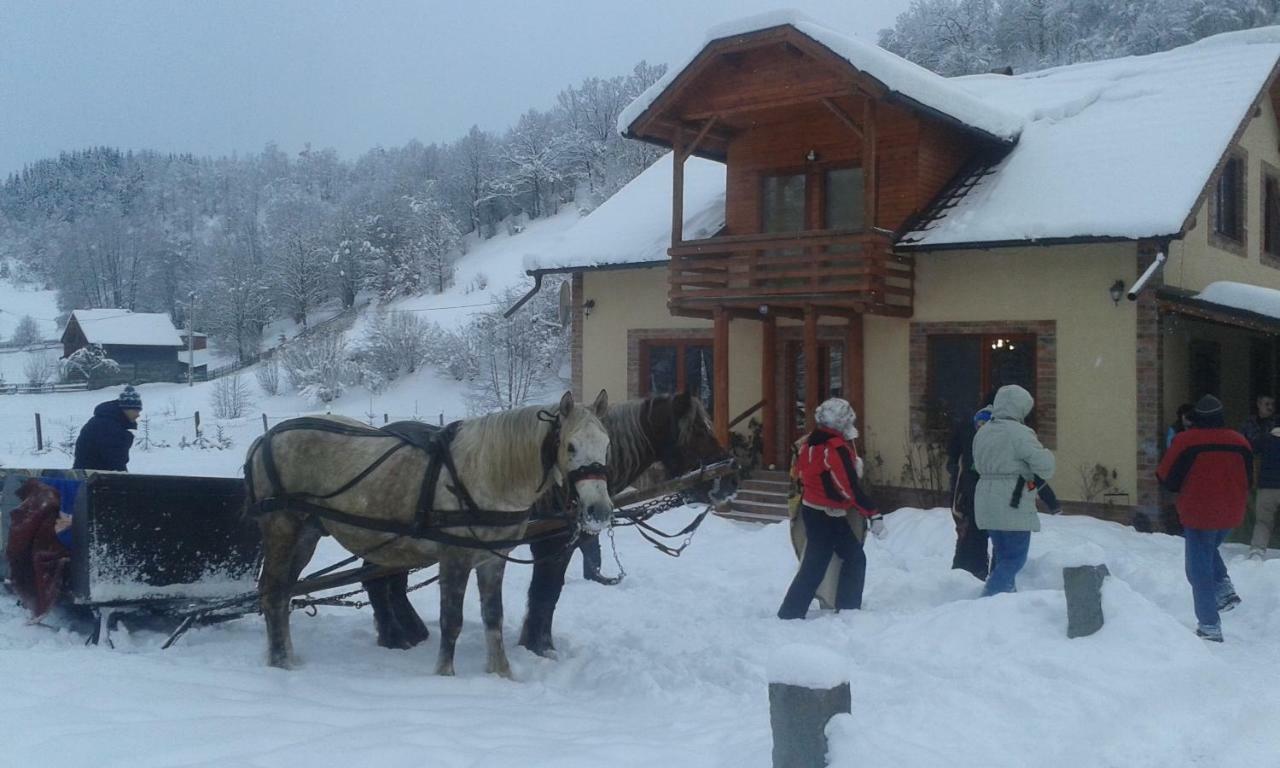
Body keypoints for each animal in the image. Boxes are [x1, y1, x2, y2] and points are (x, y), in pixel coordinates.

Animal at [248, 389, 614, 675]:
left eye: (607, 444)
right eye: (570, 446)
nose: (599, 510)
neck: (484, 472)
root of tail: (265, 438)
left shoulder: (492, 560)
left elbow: (493, 617)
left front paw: (501, 672)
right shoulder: (454, 557)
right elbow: (451, 620)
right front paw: (444, 674)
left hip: (306, 534)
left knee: (283, 591)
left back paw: (288, 656)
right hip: (282, 527)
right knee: (273, 592)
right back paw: (281, 662)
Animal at [363, 396, 742, 652]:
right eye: (699, 431)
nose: (730, 480)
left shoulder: (564, 542)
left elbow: (551, 593)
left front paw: (539, 642)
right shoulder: (548, 545)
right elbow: (543, 592)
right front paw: (536, 645)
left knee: (390, 579)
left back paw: (409, 630)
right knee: (376, 577)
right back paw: (394, 635)